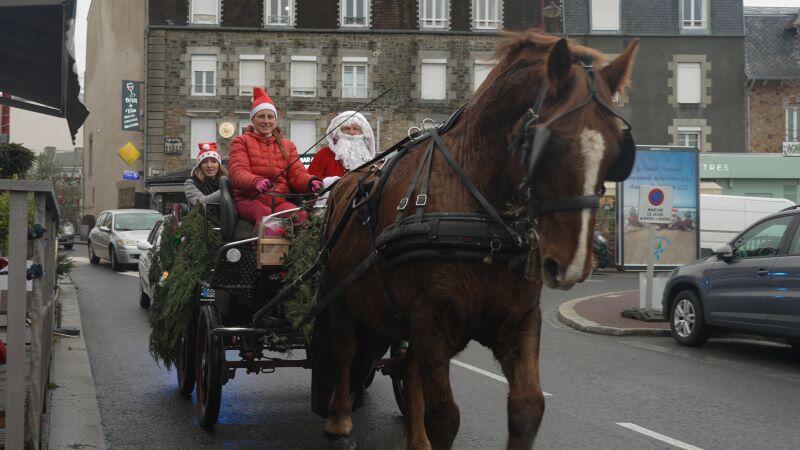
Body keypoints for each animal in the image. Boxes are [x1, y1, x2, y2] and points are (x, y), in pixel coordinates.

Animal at [318, 29, 636, 448]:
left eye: (618, 150)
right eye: (549, 144)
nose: (572, 264)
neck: (483, 223)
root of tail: (348, 180)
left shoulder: (519, 321)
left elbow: (527, 407)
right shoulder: (431, 325)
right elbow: (444, 417)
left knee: (407, 370)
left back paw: (414, 437)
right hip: (339, 295)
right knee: (343, 349)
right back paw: (339, 419)